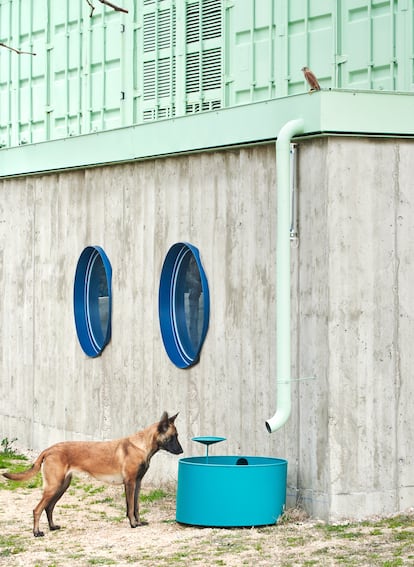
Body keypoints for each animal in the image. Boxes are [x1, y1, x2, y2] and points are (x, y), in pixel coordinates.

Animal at [2, 412, 182, 536]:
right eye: (173, 437)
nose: (182, 451)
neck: (141, 445)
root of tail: (49, 449)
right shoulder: (130, 483)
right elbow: (130, 507)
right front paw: (132, 524)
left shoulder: (137, 483)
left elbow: (136, 506)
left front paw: (138, 522)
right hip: (54, 486)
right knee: (38, 509)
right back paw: (36, 532)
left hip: (62, 486)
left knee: (49, 507)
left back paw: (52, 527)